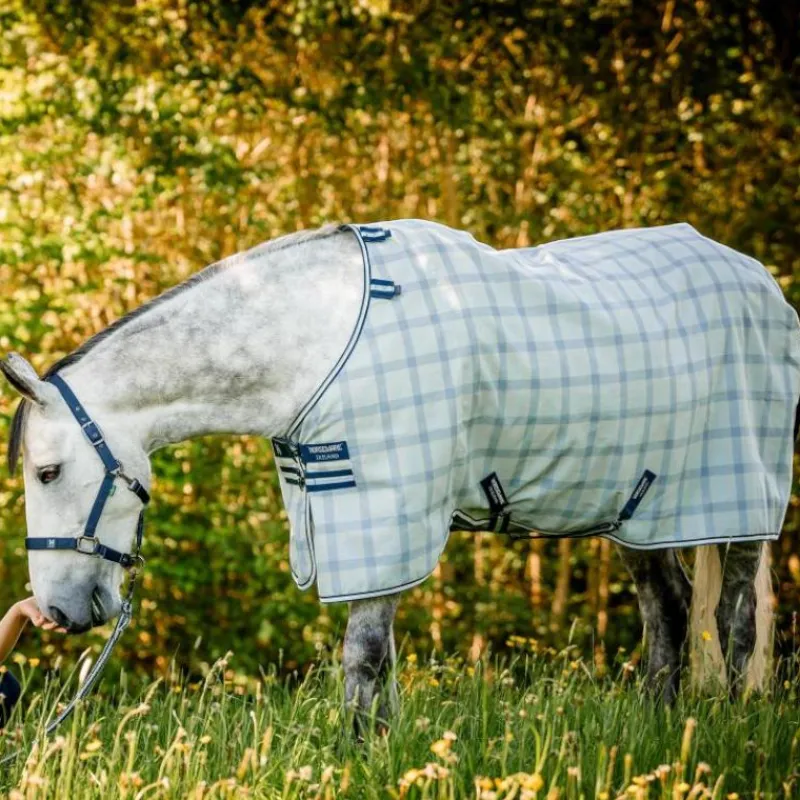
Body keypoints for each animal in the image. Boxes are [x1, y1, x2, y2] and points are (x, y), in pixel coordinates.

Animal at [2, 220, 798, 725]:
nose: (55, 612)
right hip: (640, 507)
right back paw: (661, 728)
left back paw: (727, 727)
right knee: (668, 611)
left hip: (740, 504)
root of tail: (760, 278)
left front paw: (360, 752)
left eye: (48, 472)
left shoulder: (383, 509)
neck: (313, 337)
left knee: (734, 622)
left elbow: (362, 656)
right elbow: (378, 661)